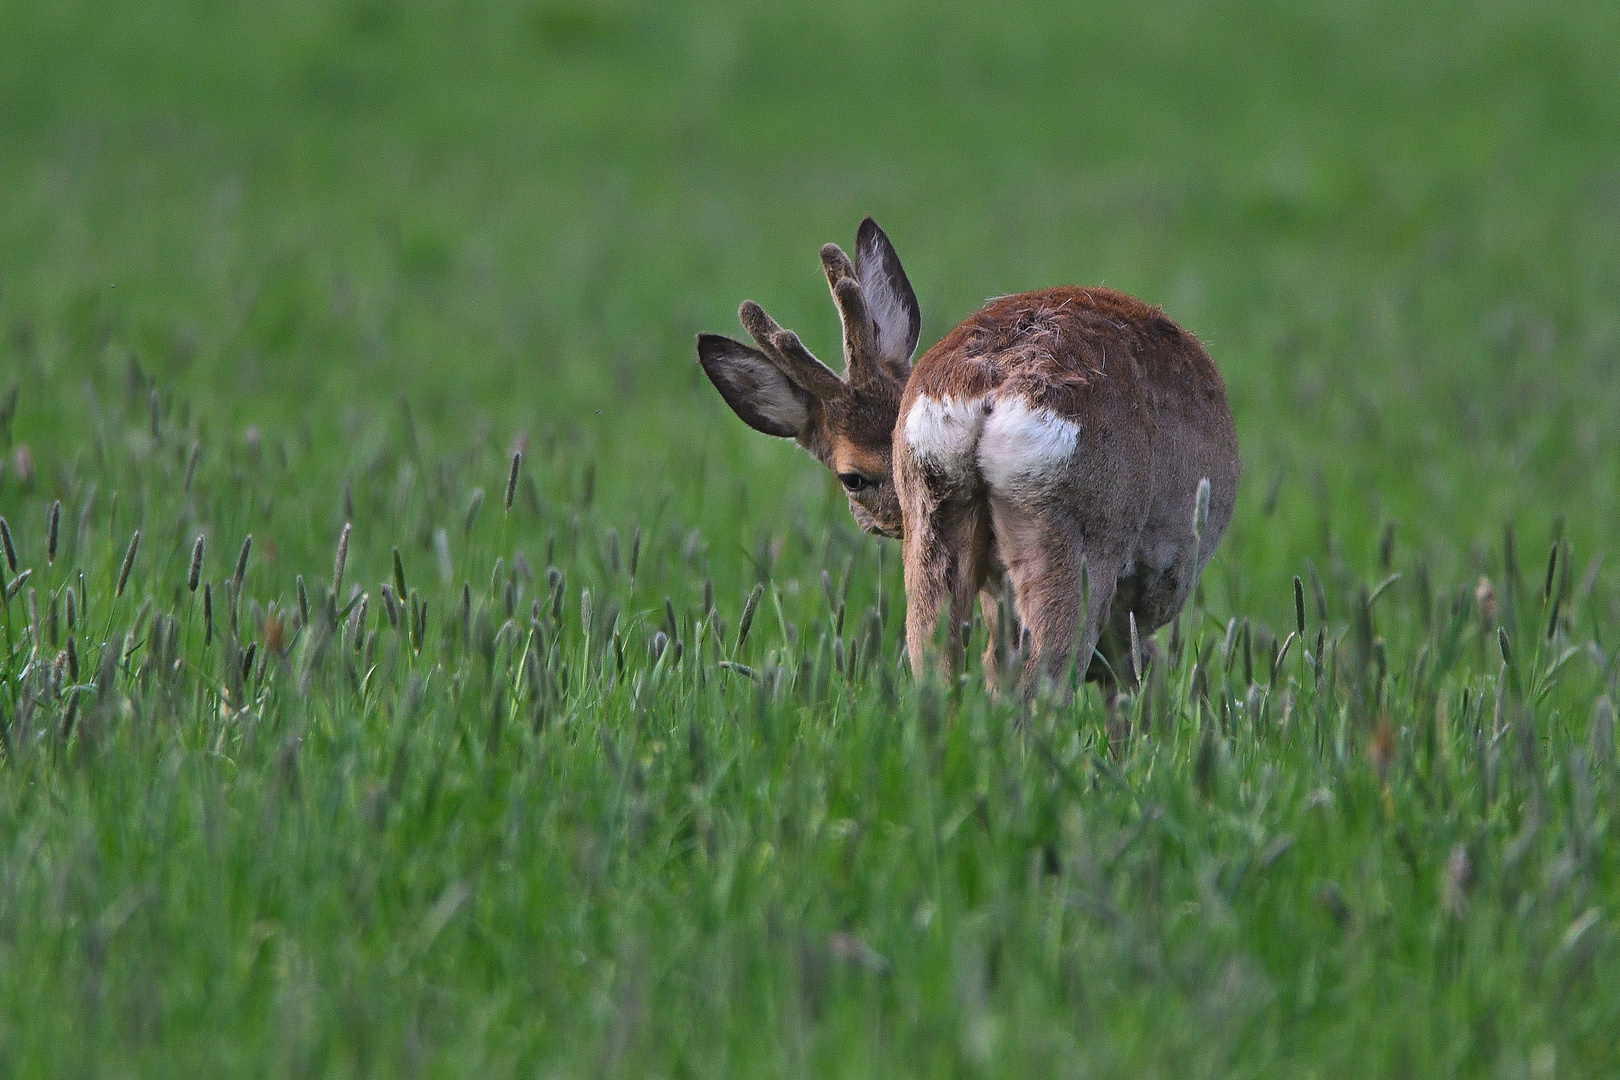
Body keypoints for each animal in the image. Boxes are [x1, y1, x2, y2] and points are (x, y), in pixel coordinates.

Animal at [696, 220, 1237, 696]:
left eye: (890, 423)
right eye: (852, 478)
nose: (894, 514)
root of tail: (995, 381)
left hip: (938, 524)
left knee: (940, 665)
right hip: (1078, 537)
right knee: (1042, 683)